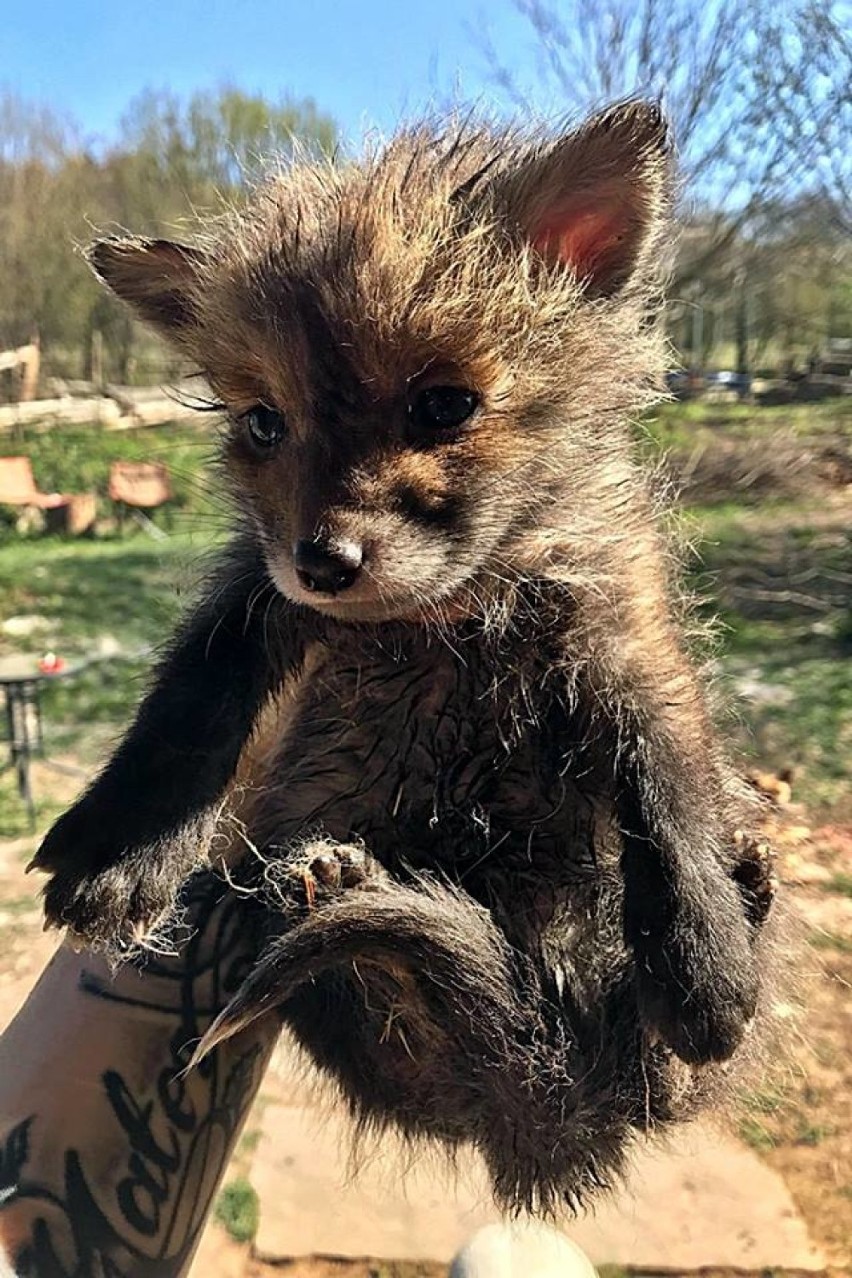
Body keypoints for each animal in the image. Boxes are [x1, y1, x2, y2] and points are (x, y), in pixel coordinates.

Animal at [34, 104, 781, 1211]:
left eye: (443, 407)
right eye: (264, 423)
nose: (323, 564)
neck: (450, 613)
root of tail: (557, 1101)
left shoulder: (625, 630)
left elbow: (671, 793)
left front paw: (706, 960)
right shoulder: (252, 598)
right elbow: (185, 717)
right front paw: (126, 853)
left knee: (644, 1059)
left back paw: (747, 908)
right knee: (396, 992)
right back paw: (335, 885)